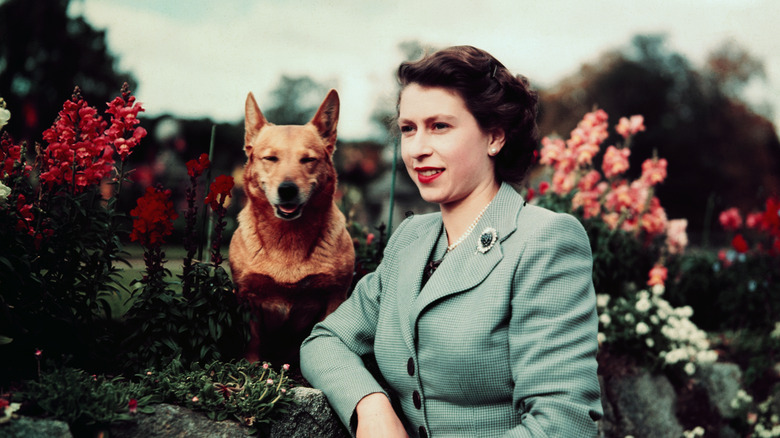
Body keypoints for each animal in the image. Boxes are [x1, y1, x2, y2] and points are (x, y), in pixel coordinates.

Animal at [230, 90, 354, 366]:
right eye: (270, 158)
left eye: (308, 160)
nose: (287, 189)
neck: (288, 238)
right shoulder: (248, 297)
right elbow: (252, 342)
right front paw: (251, 368)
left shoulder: (335, 297)